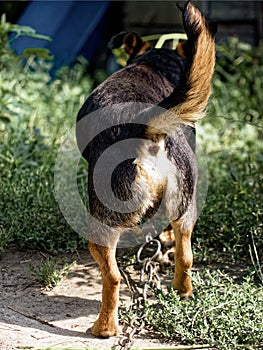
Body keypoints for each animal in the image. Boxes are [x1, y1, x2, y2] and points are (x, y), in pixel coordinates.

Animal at [76, 1, 217, 338]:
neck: (154, 62)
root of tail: (145, 128)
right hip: (185, 204)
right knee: (186, 254)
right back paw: (182, 290)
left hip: (101, 223)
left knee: (112, 277)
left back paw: (104, 327)